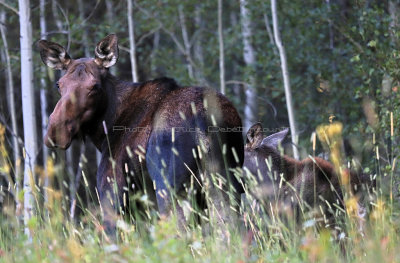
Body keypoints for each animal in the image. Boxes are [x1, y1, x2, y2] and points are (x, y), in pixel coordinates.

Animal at [38, 34, 244, 234]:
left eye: (95, 86)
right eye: (59, 84)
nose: (56, 131)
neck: (104, 131)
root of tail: (205, 118)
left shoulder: (113, 195)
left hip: (170, 188)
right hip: (226, 182)